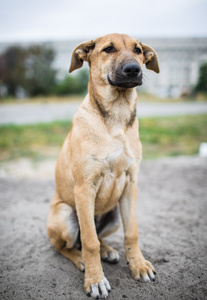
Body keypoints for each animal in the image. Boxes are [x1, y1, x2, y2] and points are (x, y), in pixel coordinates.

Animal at [47, 32, 160, 298]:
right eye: (108, 49)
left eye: (138, 50)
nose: (134, 69)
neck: (116, 117)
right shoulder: (84, 187)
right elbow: (90, 242)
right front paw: (95, 279)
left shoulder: (130, 184)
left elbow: (132, 233)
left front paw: (138, 265)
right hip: (65, 215)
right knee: (70, 245)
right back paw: (81, 259)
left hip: (114, 214)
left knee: (99, 236)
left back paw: (108, 250)